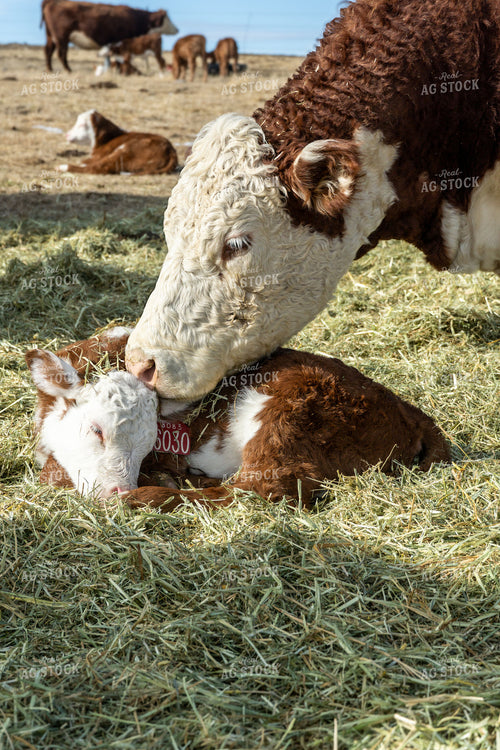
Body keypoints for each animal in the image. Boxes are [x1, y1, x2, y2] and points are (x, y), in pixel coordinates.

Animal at [28, 329, 449, 510]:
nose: (117, 490)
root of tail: (410, 412)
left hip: (288, 416)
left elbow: (53, 475)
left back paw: (152, 494)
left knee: (261, 489)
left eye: (147, 445)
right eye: (96, 429)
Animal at [40, 0, 178, 72]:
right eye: (168, 19)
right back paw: (68, 69)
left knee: (48, 50)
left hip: (50, 36)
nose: (177, 29)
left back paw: (50, 69)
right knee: (61, 53)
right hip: (61, 36)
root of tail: (52, 2)